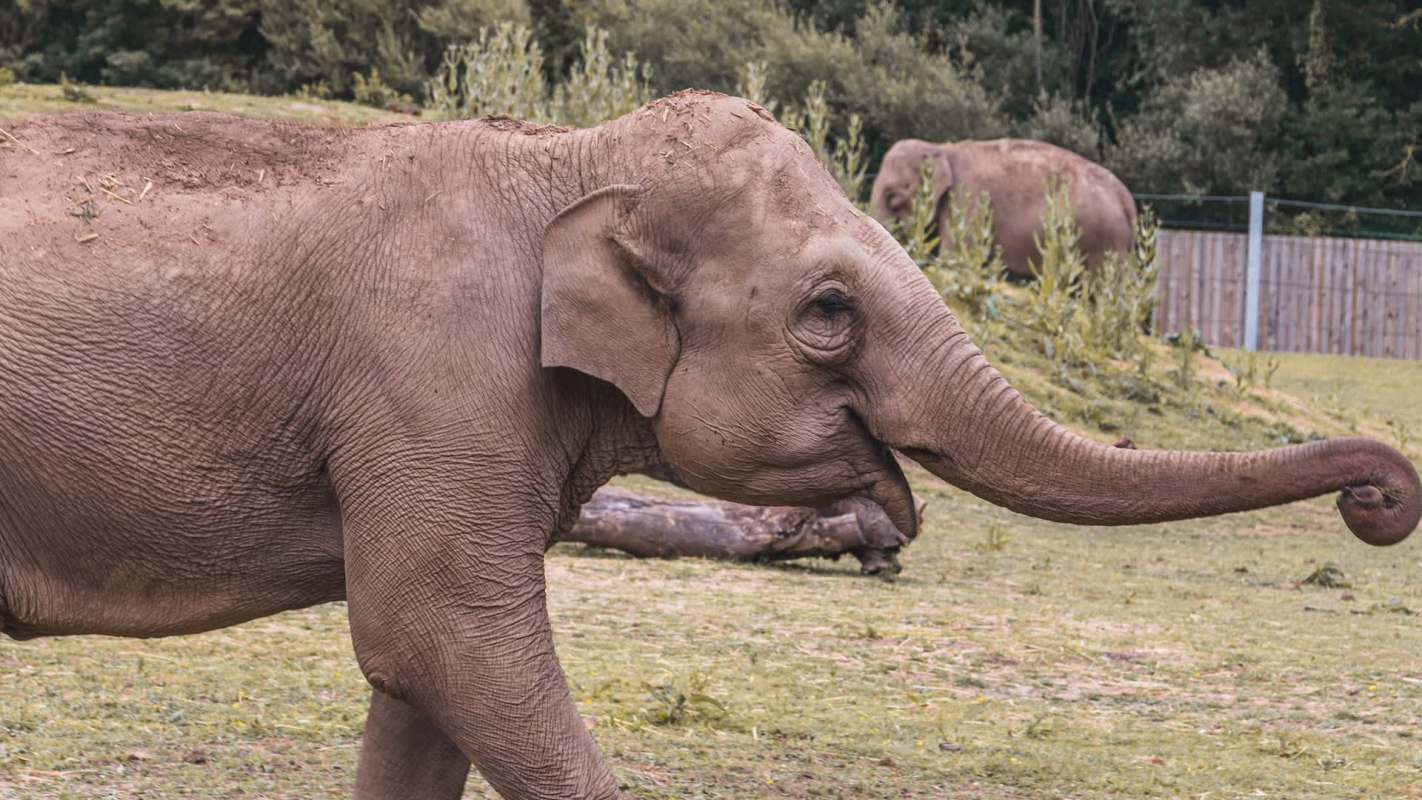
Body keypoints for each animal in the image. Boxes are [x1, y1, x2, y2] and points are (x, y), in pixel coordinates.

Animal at [870, 138, 1138, 278]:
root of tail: (1127, 200)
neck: (942, 149)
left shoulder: (969, 198)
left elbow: (956, 253)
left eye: (893, 195)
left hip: (1104, 240)